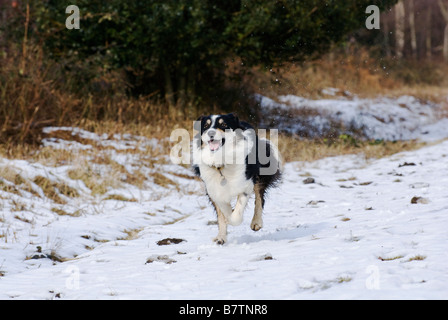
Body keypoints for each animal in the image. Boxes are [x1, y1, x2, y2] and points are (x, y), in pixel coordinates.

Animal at [192, 114, 280, 244]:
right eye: (206, 126)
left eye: (223, 124)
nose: (211, 133)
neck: (221, 163)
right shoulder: (213, 189)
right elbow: (222, 212)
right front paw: (221, 236)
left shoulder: (245, 184)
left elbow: (236, 215)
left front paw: (232, 217)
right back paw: (221, 238)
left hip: (259, 173)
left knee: (259, 198)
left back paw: (256, 223)